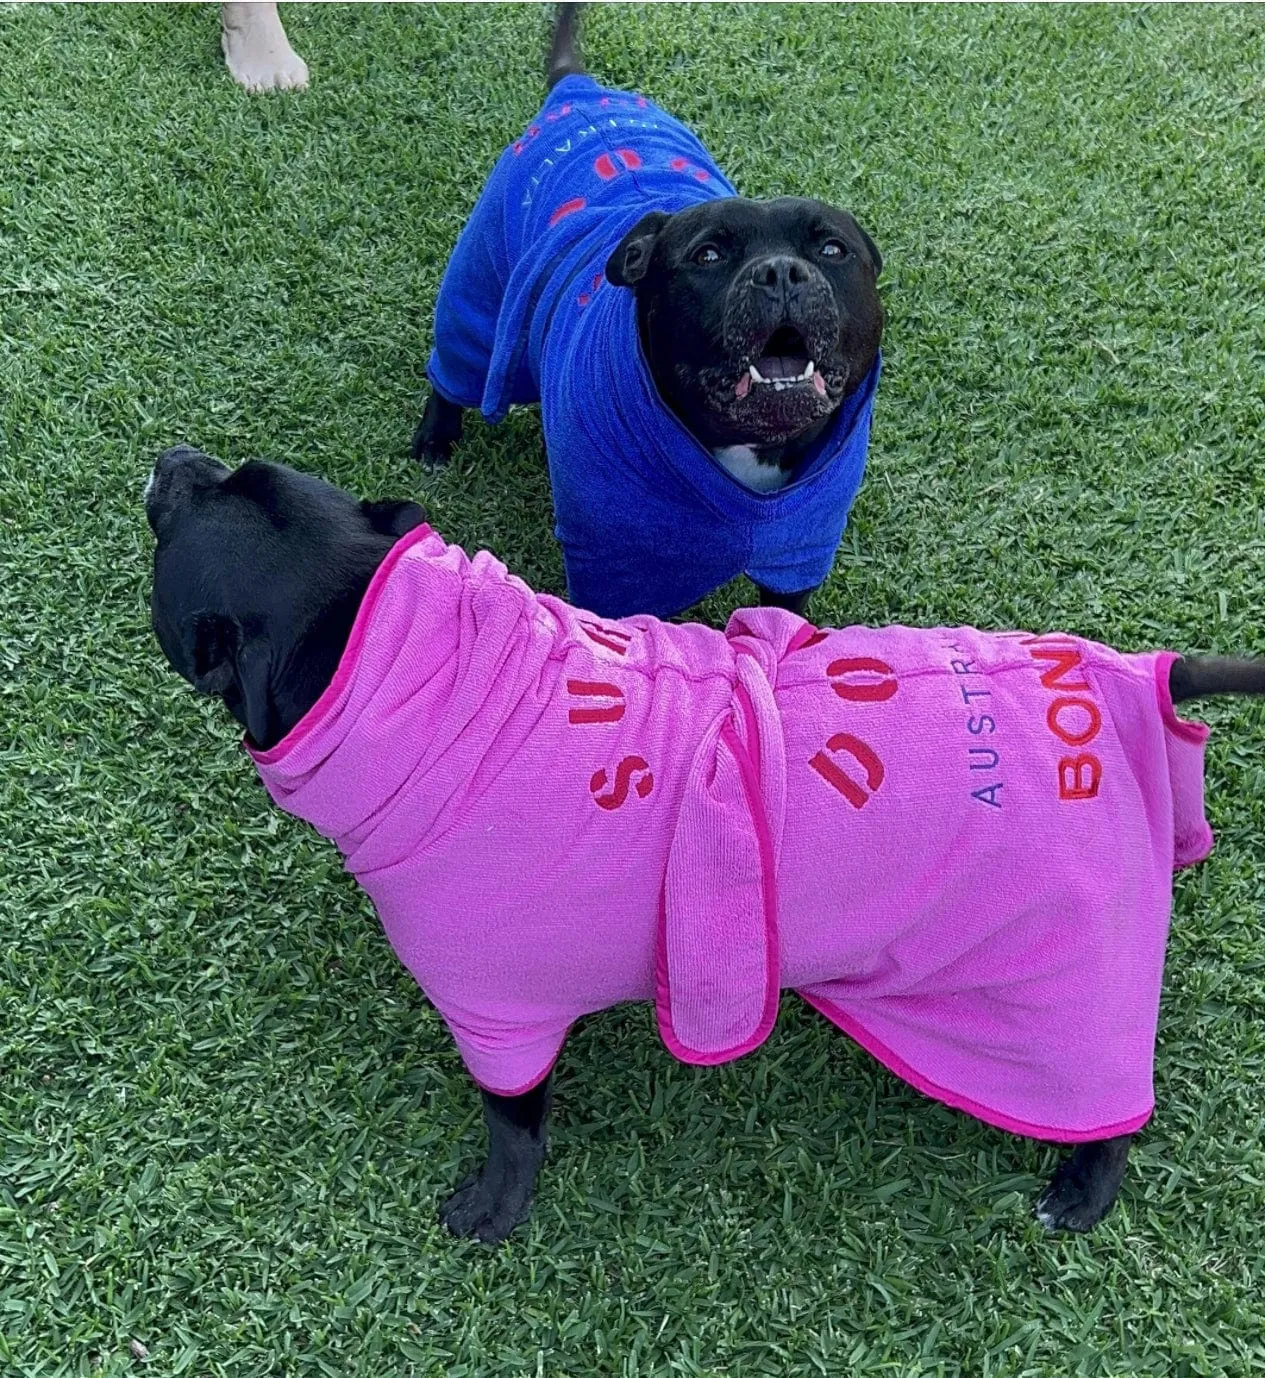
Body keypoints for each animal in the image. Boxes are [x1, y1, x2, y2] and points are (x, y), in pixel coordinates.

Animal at [146, 446, 1265, 1245]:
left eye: (193, 513)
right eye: (236, 473)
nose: (170, 455)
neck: (394, 659)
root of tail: (1134, 679)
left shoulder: (495, 1016)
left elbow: (513, 1127)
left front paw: (494, 1210)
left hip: (1053, 992)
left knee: (1108, 1108)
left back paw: (1082, 1186)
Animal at [410, 4, 887, 620]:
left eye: (832, 249)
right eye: (707, 255)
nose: (781, 272)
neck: (747, 448)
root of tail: (578, 90)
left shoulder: (800, 551)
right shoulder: (619, 563)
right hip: (479, 294)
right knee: (454, 370)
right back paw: (435, 440)